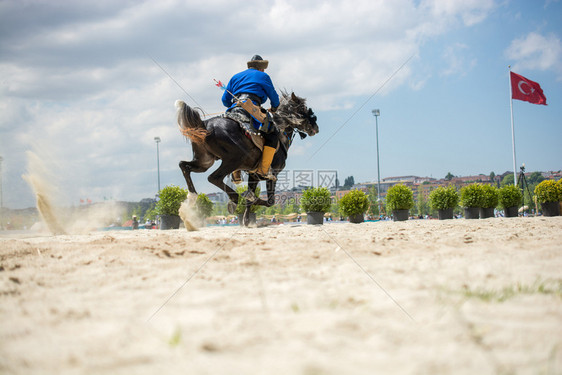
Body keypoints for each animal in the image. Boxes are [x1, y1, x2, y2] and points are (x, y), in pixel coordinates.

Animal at [175, 92, 318, 226]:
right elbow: (269, 201)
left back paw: (192, 196)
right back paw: (235, 198)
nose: (316, 127)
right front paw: (248, 198)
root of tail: (205, 124)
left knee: (184, 166)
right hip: (234, 160)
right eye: (303, 108)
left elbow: (253, 194)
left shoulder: (254, 175)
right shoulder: (273, 175)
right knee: (213, 177)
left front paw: (247, 219)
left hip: (205, 161)